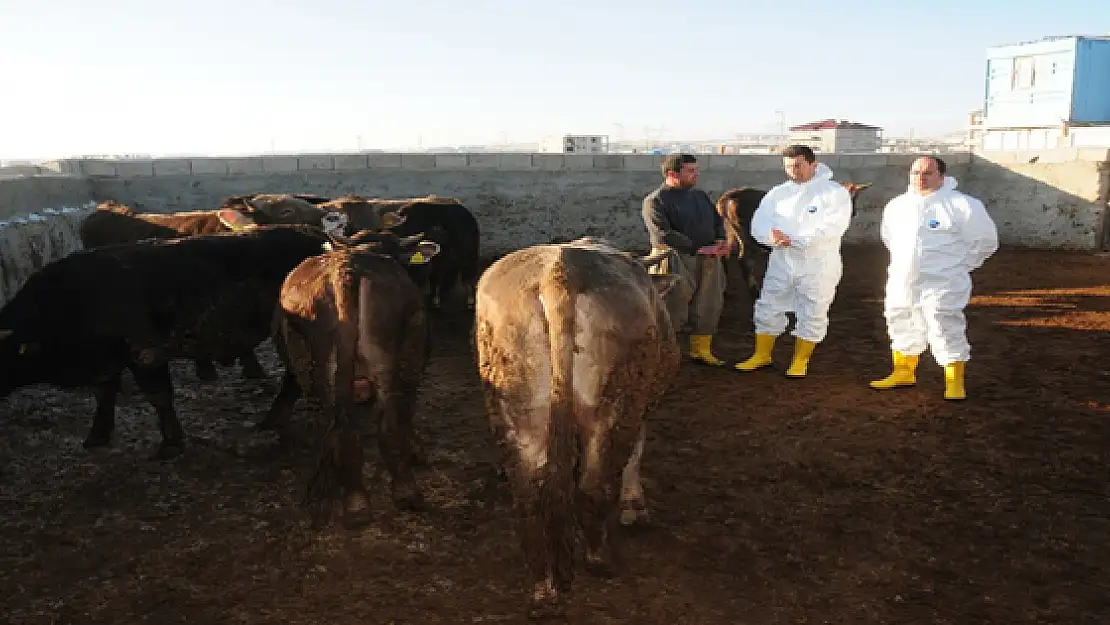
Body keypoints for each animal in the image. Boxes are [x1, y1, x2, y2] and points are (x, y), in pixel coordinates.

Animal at [257, 227, 444, 526]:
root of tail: (346, 271)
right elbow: (407, 411)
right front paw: (416, 450)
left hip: (319, 372)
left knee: (334, 428)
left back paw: (343, 497)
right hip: (384, 362)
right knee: (387, 423)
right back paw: (401, 492)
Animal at [477, 236, 683, 621]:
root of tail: (560, 269)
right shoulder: (642, 404)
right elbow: (636, 452)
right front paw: (635, 506)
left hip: (517, 406)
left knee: (528, 498)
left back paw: (543, 591)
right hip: (615, 403)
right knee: (593, 486)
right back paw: (599, 560)